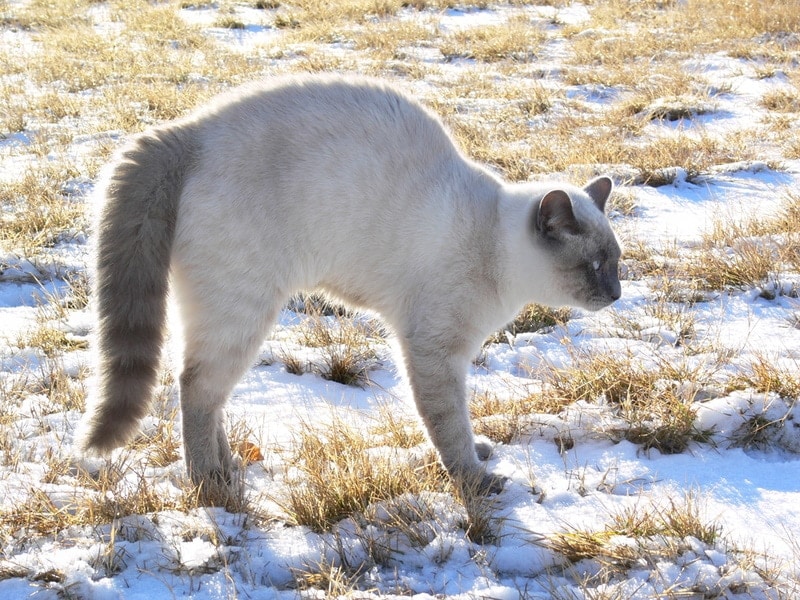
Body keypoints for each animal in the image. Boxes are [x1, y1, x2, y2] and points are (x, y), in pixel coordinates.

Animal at [78, 75, 620, 496]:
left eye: (616, 262)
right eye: (594, 265)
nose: (616, 295)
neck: (496, 248)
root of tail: (187, 131)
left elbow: (457, 426)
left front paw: (480, 456)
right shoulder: (433, 351)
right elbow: (449, 426)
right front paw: (475, 478)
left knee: (204, 393)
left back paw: (228, 468)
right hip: (244, 310)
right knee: (195, 388)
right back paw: (209, 482)